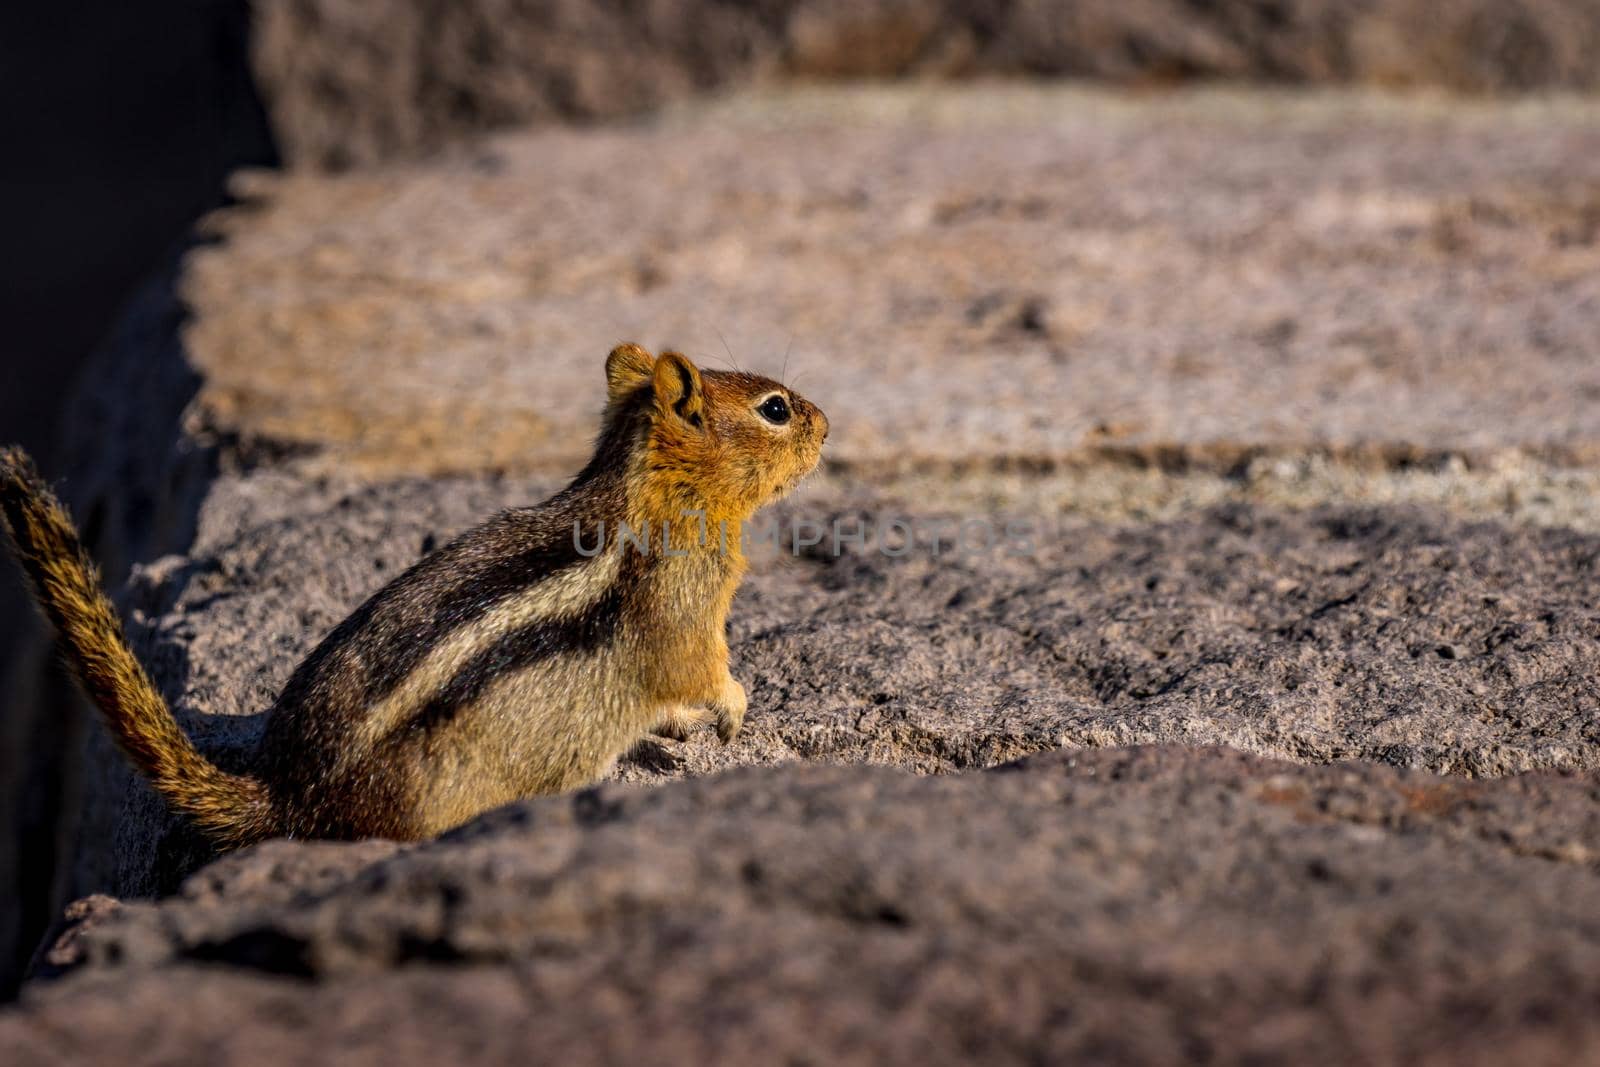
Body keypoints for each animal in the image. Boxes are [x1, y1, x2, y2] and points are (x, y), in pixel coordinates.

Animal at [9, 347, 838, 844]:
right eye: (775, 408)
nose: (828, 425)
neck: (652, 491)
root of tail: (287, 794)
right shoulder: (685, 615)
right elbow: (696, 669)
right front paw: (731, 708)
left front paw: (677, 727)